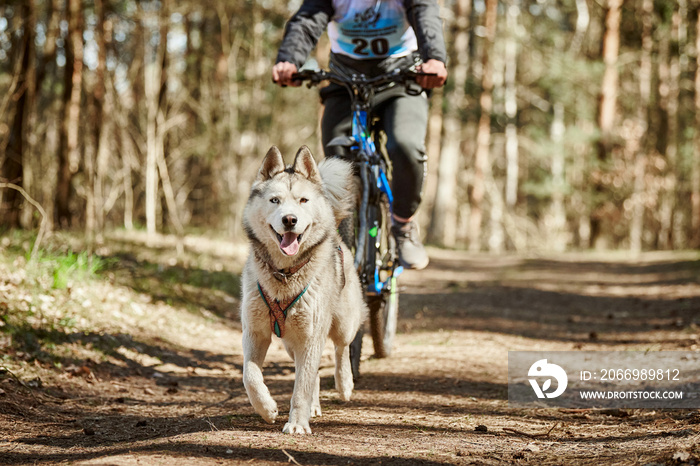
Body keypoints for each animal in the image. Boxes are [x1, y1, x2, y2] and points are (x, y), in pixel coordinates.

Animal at [242, 145, 366, 434]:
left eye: (303, 201)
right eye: (275, 200)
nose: (290, 219)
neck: (284, 275)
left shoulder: (311, 336)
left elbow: (301, 387)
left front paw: (297, 423)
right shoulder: (255, 332)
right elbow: (250, 376)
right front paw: (266, 408)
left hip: (341, 323)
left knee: (341, 349)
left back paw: (345, 384)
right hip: (291, 342)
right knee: (312, 372)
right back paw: (314, 406)